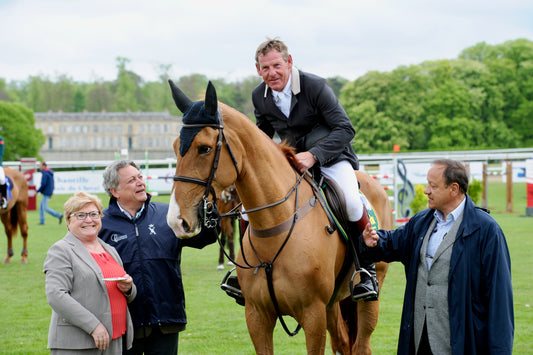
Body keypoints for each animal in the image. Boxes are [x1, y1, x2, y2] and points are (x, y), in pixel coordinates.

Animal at [166, 82, 390, 354]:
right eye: (176, 147)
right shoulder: (257, 316)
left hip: (366, 301)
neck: (276, 226)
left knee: (361, 344)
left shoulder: (313, 316)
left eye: (204, 148)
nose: (176, 220)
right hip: (333, 305)